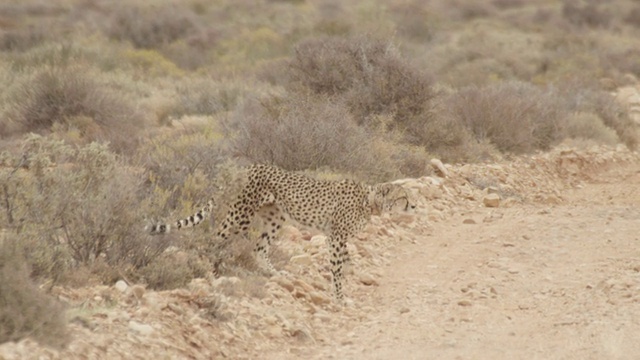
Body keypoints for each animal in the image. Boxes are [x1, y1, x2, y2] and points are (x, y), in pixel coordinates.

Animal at [152, 165, 418, 300]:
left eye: (410, 196)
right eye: (403, 198)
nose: (415, 206)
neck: (370, 201)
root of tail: (246, 166)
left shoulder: (340, 239)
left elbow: (347, 263)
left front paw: (352, 284)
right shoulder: (335, 237)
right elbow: (337, 268)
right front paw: (339, 295)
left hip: (274, 217)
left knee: (259, 248)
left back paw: (274, 274)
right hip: (240, 216)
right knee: (213, 239)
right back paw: (208, 270)